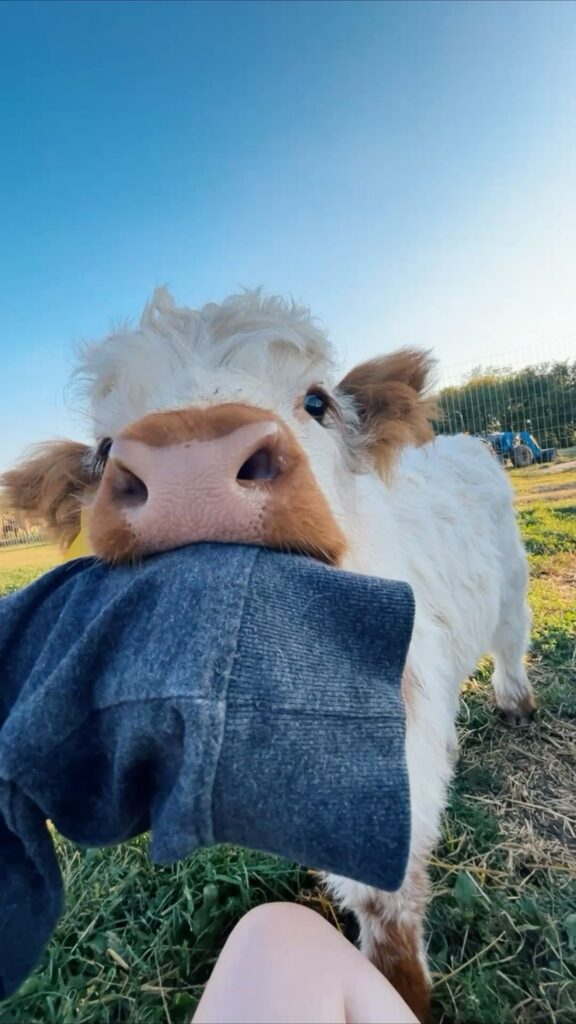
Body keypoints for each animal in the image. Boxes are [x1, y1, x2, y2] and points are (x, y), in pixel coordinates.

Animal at [1, 288, 535, 1020]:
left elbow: (385, 900)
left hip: (510, 582)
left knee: (512, 641)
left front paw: (401, 992)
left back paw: (516, 703)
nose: (190, 465)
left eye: (317, 401)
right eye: (103, 449)